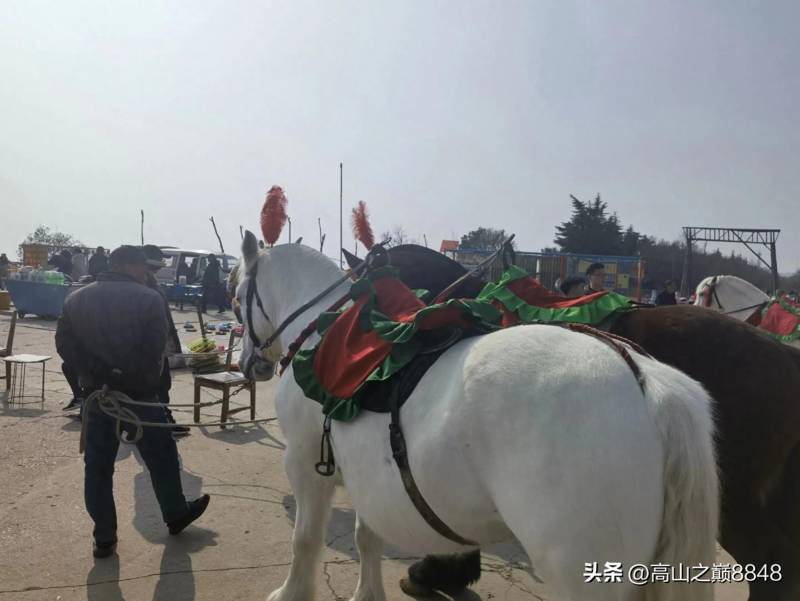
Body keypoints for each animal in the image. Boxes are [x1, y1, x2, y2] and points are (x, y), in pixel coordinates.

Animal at [236, 233, 720, 600]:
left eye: (239, 294)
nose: (248, 364)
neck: (328, 334)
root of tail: (646, 380)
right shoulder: (364, 477)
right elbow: (367, 537)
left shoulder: (305, 464)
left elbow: (305, 540)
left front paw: (290, 593)